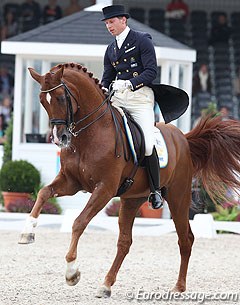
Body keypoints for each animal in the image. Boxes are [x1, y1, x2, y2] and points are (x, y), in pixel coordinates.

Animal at [19, 62, 240, 296]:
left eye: (61, 97)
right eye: (42, 101)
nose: (59, 138)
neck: (90, 135)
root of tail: (183, 138)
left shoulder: (104, 189)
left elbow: (79, 222)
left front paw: (72, 272)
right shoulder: (71, 182)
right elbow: (43, 193)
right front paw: (27, 233)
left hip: (178, 197)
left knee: (185, 239)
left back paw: (179, 287)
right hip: (132, 200)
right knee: (125, 242)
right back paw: (106, 284)